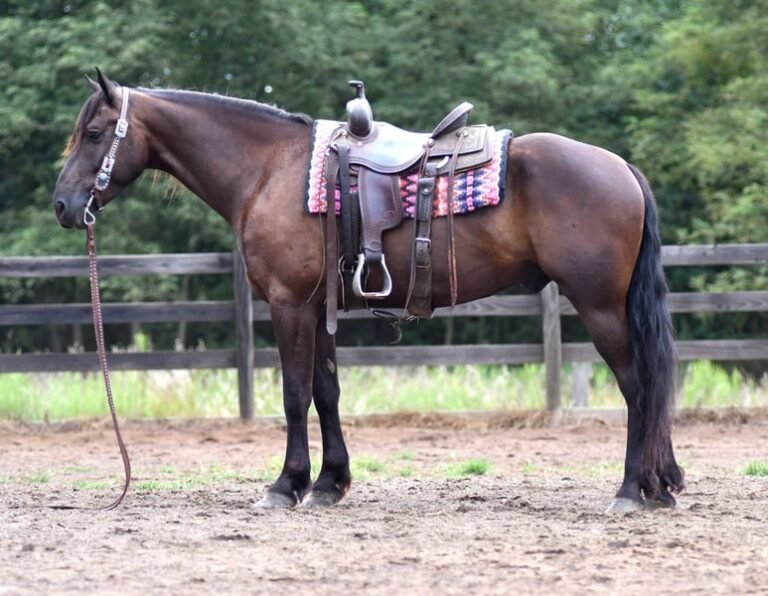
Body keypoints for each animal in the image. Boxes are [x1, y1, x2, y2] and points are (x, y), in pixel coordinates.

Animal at [53, 70, 684, 512]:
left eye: (93, 133)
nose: (62, 205)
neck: (269, 170)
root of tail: (623, 168)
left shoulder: (287, 305)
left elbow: (294, 394)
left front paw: (285, 485)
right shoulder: (317, 307)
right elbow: (326, 392)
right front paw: (329, 484)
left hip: (600, 308)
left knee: (639, 388)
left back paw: (632, 490)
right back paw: (662, 485)